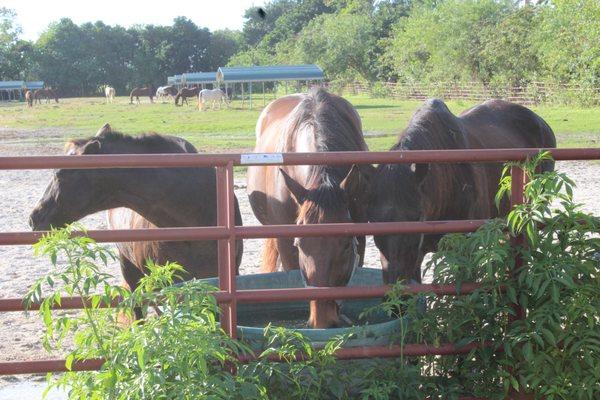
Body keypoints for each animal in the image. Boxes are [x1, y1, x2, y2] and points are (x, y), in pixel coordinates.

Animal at [364, 98, 556, 282]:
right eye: (372, 220)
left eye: (417, 217)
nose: (396, 278)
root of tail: (541, 123)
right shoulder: (413, 258)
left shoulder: (465, 250)